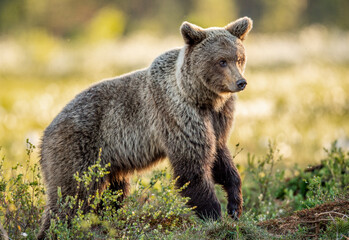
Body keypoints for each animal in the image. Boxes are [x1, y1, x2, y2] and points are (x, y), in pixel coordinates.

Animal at [37, 16, 250, 238]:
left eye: (239, 58)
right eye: (221, 61)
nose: (240, 82)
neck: (202, 98)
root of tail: (45, 132)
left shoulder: (217, 119)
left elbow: (219, 156)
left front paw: (235, 206)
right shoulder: (178, 115)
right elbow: (192, 168)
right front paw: (214, 216)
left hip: (109, 164)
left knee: (113, 194)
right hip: (78, 150)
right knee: (70, 196)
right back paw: (54, 230)